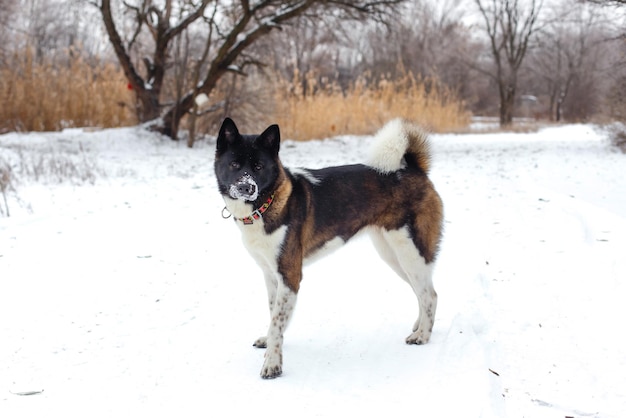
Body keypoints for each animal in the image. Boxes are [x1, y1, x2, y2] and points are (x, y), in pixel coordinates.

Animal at [214, 117, 444, 378]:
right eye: (234, 164)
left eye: (259, 167)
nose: (247, 187)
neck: (266, 204)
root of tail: (414, 169)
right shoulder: (270, 275)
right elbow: (274, 316)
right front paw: (270, 341)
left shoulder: (290, 275)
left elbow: (277, 321)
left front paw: (272, 364)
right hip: (393, 255)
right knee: (420, 291)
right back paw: (420, 325)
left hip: (410, 252)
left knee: (430, 295)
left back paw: (422, 335)